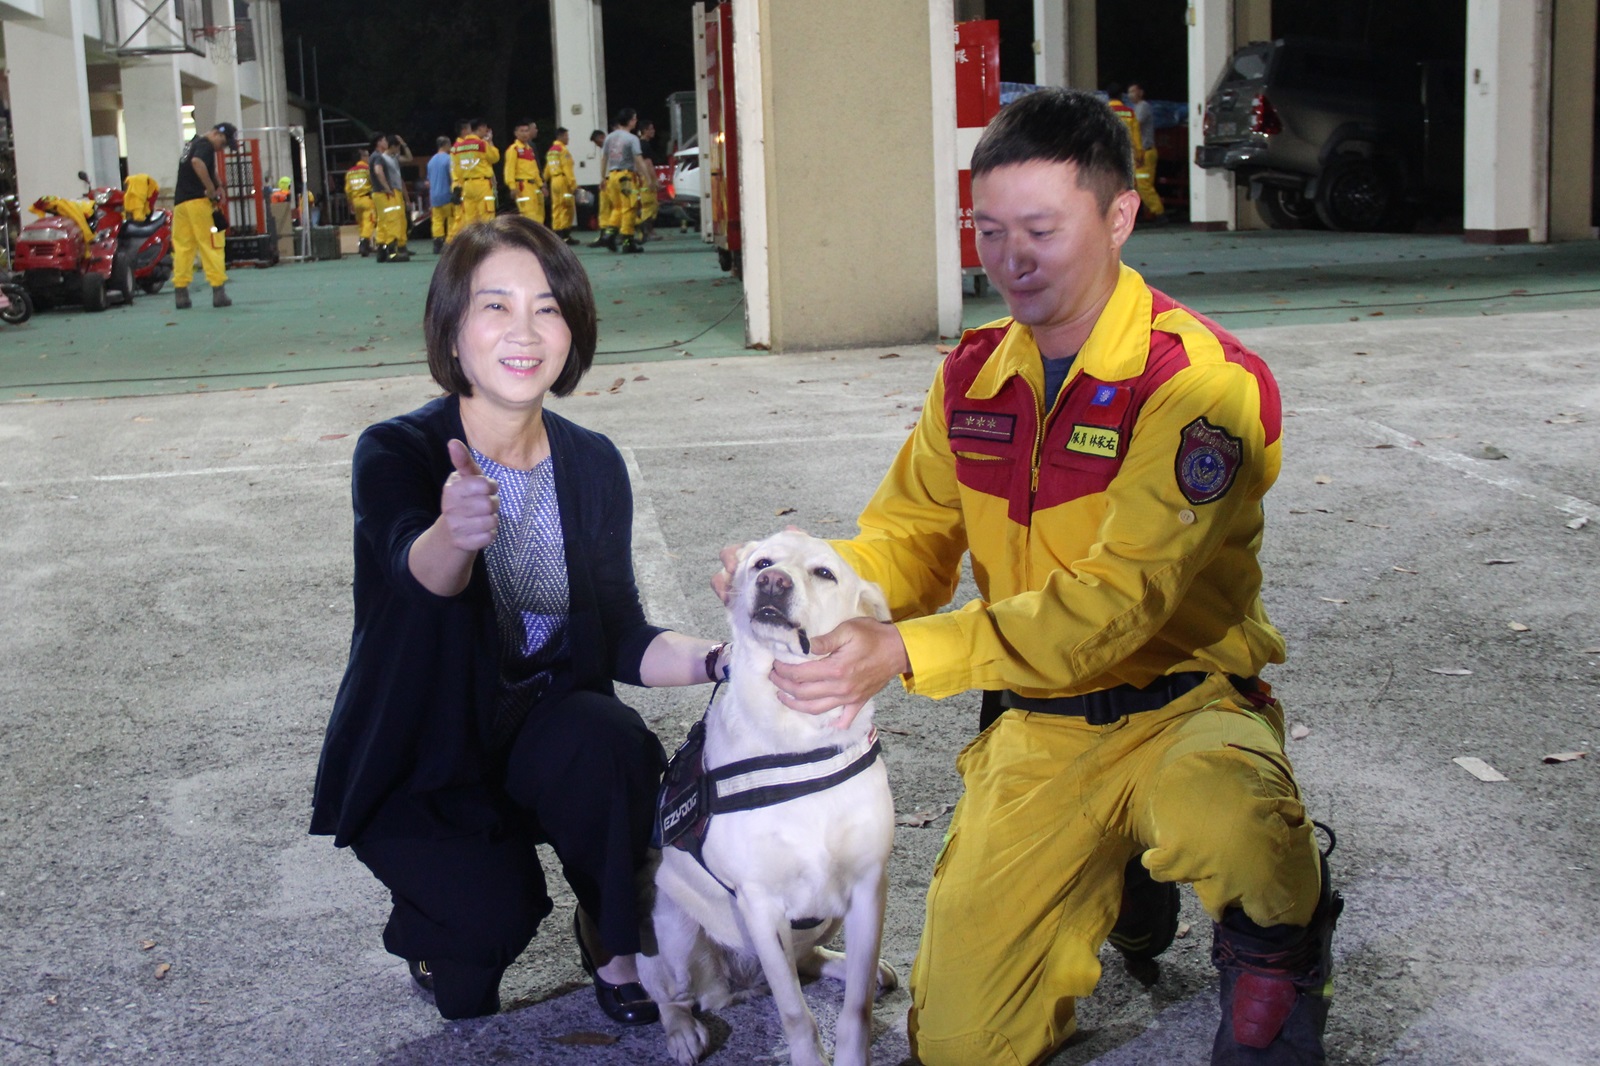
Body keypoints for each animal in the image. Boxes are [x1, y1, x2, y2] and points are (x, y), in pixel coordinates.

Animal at [643, 528, 908, 1056]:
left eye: (824, 572)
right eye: (761, 562)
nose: (772, 581)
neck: (796, 737)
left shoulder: (869, 888)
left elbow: (857, 1011)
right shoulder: (761, 905)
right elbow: (795, 1014)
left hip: (829, 919)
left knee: (811, 960)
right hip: (676, 939)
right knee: (667, 993)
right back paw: (682, 1032)